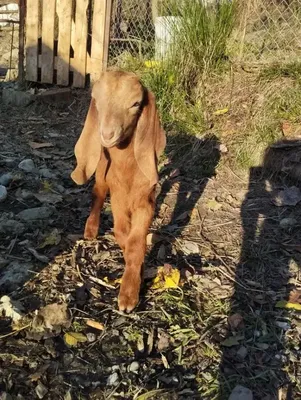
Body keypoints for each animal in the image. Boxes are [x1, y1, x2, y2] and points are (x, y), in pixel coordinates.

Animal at [70, 71, 166, 312]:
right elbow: (122, 233)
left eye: (136, 104)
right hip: (102, 169)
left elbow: (135, 242)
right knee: (97, 194)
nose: (107, 134)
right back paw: (91, 229)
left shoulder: (146, 200)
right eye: (96, 101)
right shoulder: (118, 199)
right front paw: (134, 283)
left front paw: (130, 293)